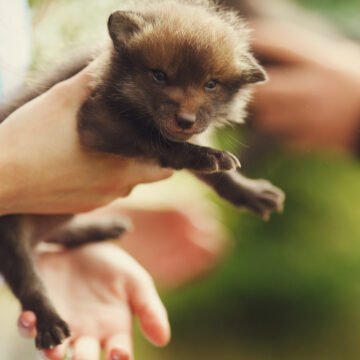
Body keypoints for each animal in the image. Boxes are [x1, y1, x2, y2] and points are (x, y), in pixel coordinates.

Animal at [0, 0, 284, 350]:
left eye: (211, 84)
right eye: (159, 76)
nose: (185, 120)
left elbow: (219, 175)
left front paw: (249, 192)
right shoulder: (96, 122)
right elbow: (161, 142)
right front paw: (204, 155)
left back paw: (98, 228)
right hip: (11, 235)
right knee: (29, 281)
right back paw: (49, 321)